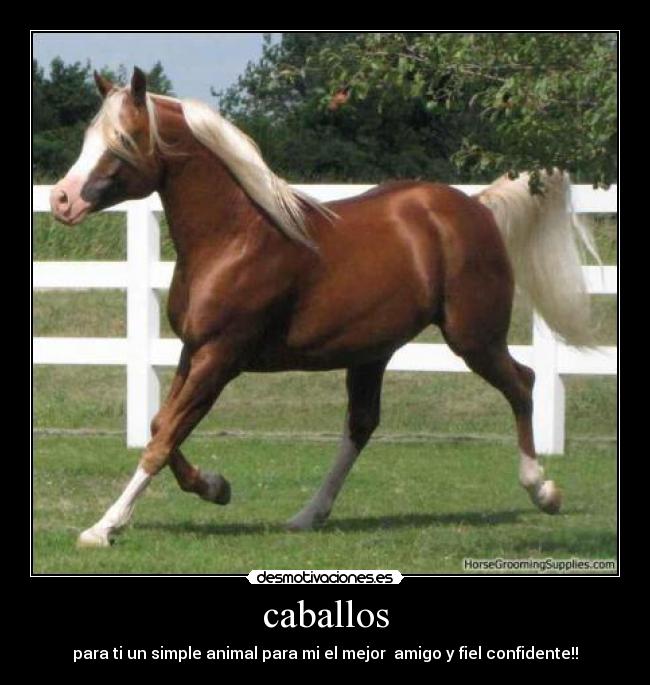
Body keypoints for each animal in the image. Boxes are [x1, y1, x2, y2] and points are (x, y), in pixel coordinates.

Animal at [49, 68, 599, 548]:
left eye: (124, 139)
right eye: (89, 137)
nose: (61, 200)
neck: (235, 239)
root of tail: (477, 207)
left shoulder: (220, 356)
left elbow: (164, 436)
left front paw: (103, 528)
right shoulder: (194, 350)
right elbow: (161, 425)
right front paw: (216, 487)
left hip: (473, 337)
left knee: (522, 383)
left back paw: (543, 490)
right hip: (372, 352)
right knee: (361, 425)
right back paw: (307, 515)